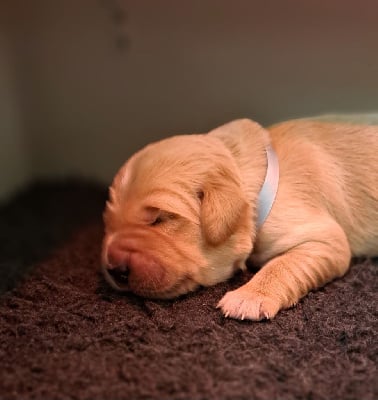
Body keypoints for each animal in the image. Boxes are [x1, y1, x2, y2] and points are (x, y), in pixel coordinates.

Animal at [101, 117, 378, 320]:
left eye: (160, 219)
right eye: (109, 222)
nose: (114, 269)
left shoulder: (323, 237)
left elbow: (283, 263)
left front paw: (249, 297)